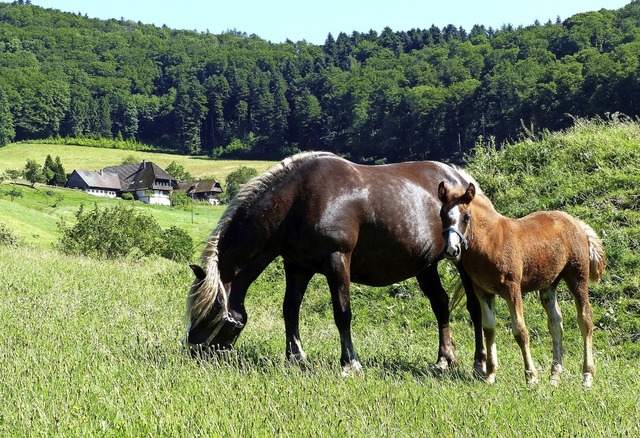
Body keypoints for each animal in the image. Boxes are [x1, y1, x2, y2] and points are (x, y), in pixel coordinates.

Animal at [185, 152, 484, 374]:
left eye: (208, 312)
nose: (192, 351)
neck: (297, 200)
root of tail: (462, 178)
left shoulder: (337, 259)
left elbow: (342, 312)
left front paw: (350, 363)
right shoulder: (297, 266)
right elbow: (290, 309)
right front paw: (295, 357)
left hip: (462, 262)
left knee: (474, 307)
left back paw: (479, 363)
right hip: (426, 266)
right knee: (440, 304)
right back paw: (445, 359)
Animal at [436, 183, 604, 388]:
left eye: (466, 217)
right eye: (442, 215)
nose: (452, 249)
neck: (491, 240)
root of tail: (578, 223)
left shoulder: (512, 288)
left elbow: (520, 330)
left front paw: (531, 377)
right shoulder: (483, 291)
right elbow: (489, 329)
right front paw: (490, 375)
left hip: (577, 277)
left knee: (585, 319)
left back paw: (587, 377)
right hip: (549, 285)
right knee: (556, 322)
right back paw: (554, 376)